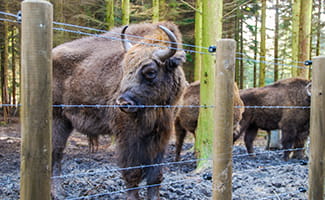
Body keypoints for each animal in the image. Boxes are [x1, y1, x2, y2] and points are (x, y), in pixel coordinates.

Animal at [52, 21, 186, 200]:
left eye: (150, 71)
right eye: (124, 68)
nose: (123, 103)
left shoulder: (162, 135)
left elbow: (155, 176)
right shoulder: (128, 137)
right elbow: (132, 173)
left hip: (65, 122)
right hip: (57, 119)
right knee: (56, 154)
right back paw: (58, 193)